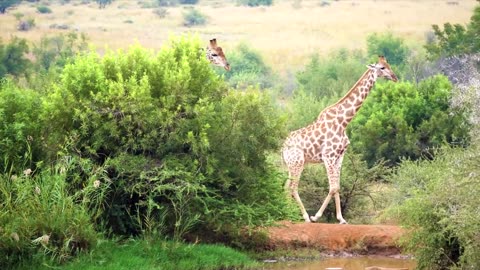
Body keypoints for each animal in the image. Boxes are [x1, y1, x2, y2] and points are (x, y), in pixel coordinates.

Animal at [282, 55, 398, 224]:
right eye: (382, 67)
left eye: (389, 65)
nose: (395, 77)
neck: (344, 122)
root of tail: (283, 148)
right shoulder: (328, 156)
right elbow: (332, 187)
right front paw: (316, 216)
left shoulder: (339, 156)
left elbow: (337, 187)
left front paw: (341, 219)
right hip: (298, 162)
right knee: (293, 187)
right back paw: (305, 217)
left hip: (290, 164)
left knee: (286, 186)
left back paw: (285, 213)